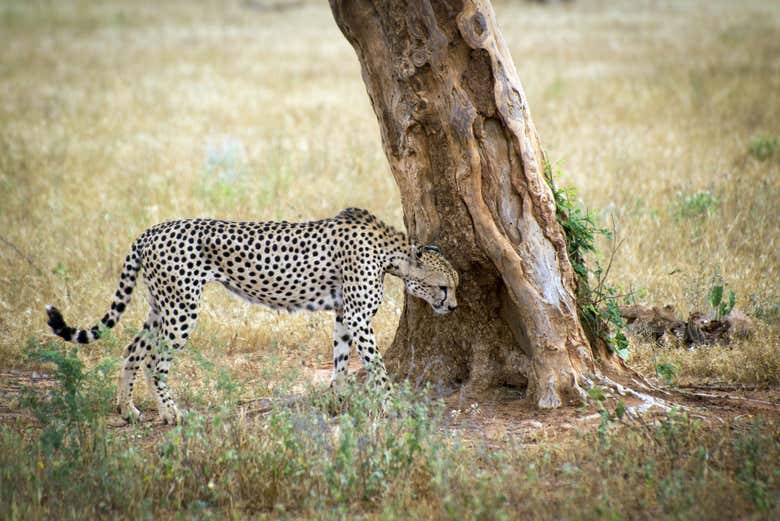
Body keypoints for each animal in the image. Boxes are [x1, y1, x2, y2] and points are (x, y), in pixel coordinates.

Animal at [45, 207, 460, 422]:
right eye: (444, 287)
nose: (454, 306)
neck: (392, 253)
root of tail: (151, 230)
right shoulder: (358, 316)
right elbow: (377, 366)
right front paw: (390, 405)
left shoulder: (344, 314)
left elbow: (341, 361)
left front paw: (338, 401)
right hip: (182, 308)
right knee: (155, 361)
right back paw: (172, 413)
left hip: (161, 305)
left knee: (133, 349)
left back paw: (127, 408)